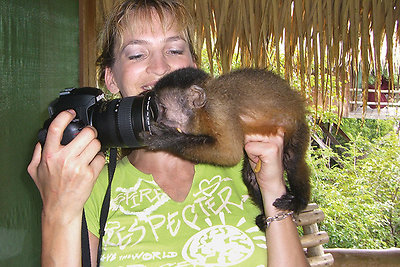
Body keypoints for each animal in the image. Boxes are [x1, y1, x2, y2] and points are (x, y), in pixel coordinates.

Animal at [142, 67, 310, 232]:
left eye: (163, 109)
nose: (159, 120)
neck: (202, 112)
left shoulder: (219, 111)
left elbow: (229, 153)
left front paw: (166, 139)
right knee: (250, 176)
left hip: (297, 129)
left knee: (292, 160)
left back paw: (299, 201)